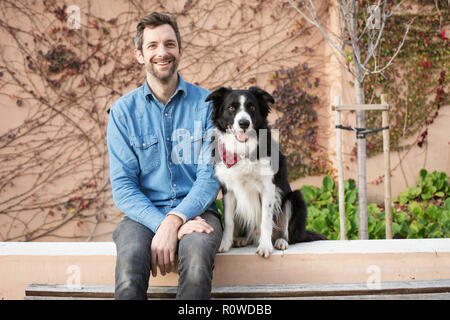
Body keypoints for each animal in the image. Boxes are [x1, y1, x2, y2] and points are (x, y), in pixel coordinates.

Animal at [206, 86, 326, 258]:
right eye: (231, 108)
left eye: (252, 107)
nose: (244, 123)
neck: (243, 150)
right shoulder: (228, 189)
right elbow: (228, 221)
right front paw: (224, 244)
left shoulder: (269, 188)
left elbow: (265, 220)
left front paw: (265, 246)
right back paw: (242, 239)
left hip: (295, 198)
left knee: (288, 233)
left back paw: (280, 241)